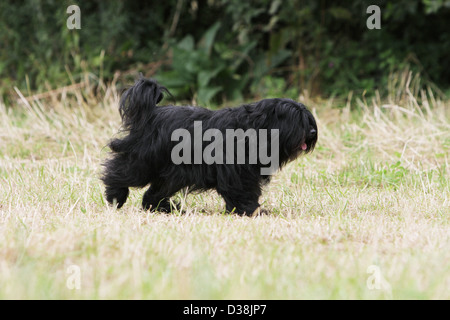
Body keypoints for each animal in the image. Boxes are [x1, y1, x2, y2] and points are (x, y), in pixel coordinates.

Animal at [103, 77, 318, 215]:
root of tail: (151, 114)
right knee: (119, 171)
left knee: (154, 192)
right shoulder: (236, 173)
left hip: (171, 173)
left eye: (308, 119)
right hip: (144, 162)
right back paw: (115, 196)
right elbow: (242, 193)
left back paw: (164, 209)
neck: (255, 128)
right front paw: (251, 211)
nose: (312, 132)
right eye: (296, 120)